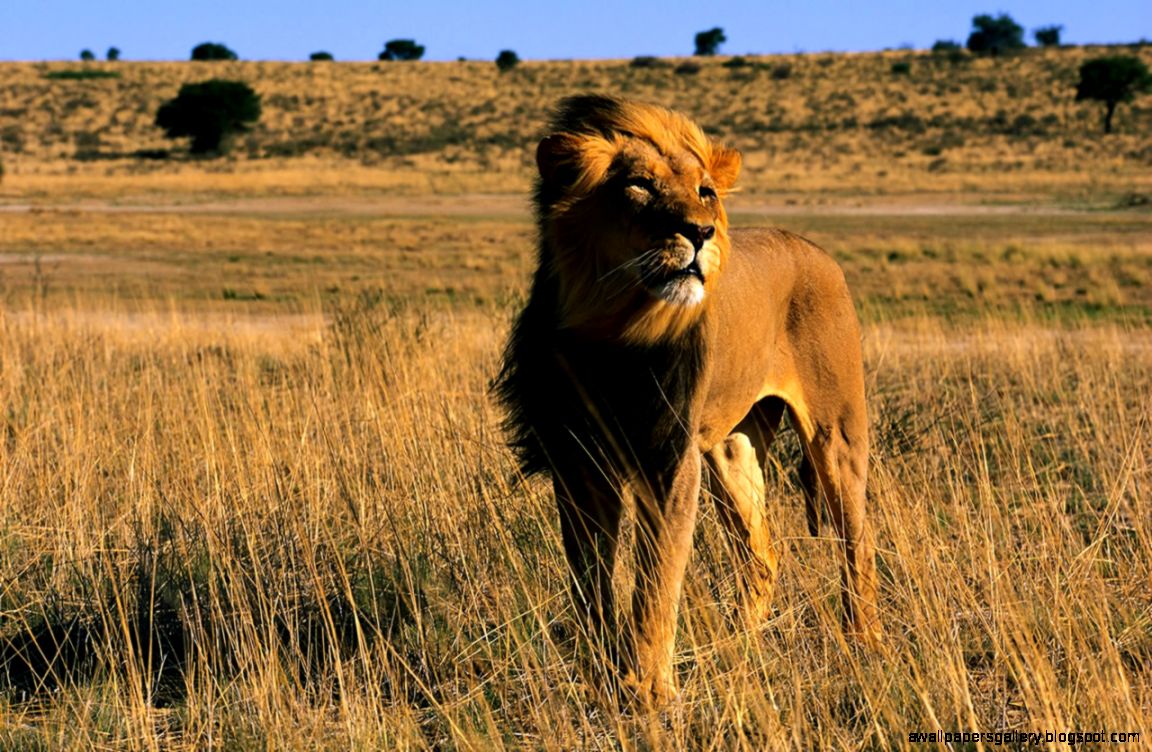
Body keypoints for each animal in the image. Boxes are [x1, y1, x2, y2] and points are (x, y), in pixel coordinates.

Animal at [495, 95, 881, 704]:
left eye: (705, 192)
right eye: (639, 186)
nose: (700, 233)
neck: (615, 332)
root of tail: (815, 249)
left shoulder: (670, 458)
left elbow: (656, 581)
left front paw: (649, 693)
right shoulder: (577, 461)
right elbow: (589, 580)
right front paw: (602, 678)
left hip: (835, 434)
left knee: (857, 545)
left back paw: (864, 644)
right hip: (731, 450)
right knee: (762, 557)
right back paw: (738, 647)